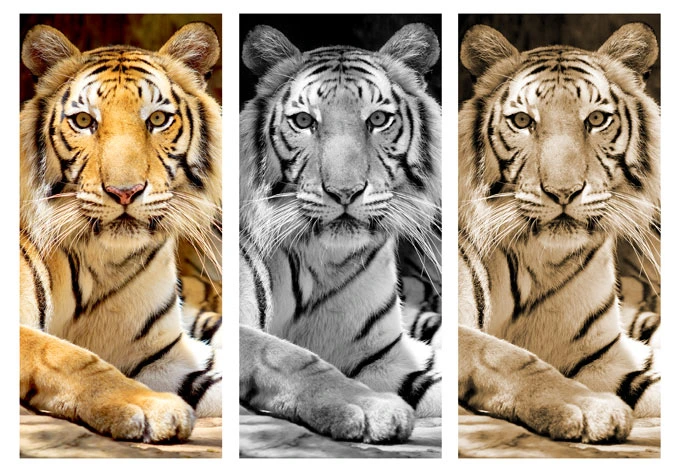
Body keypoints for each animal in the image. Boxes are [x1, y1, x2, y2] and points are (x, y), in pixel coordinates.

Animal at [19, 22, 223, 443]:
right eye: (83, 122)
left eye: (158, 119)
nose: (125, 191)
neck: (104, 261)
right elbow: (69, 355)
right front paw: (149, 407)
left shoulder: (162, 355)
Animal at [239, 23, 442, 443]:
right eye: (304, 122)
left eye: (378, 119)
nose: (345, 192)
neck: (324, 262)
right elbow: (288, 356)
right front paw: (370, 407)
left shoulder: (383, 355)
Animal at [458, 22, 660, 443]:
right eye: (522, 122)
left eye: (596, 119)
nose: (564, 191)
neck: (542, 261)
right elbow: (506, 355)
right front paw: (588, 408)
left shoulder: (603, 356)